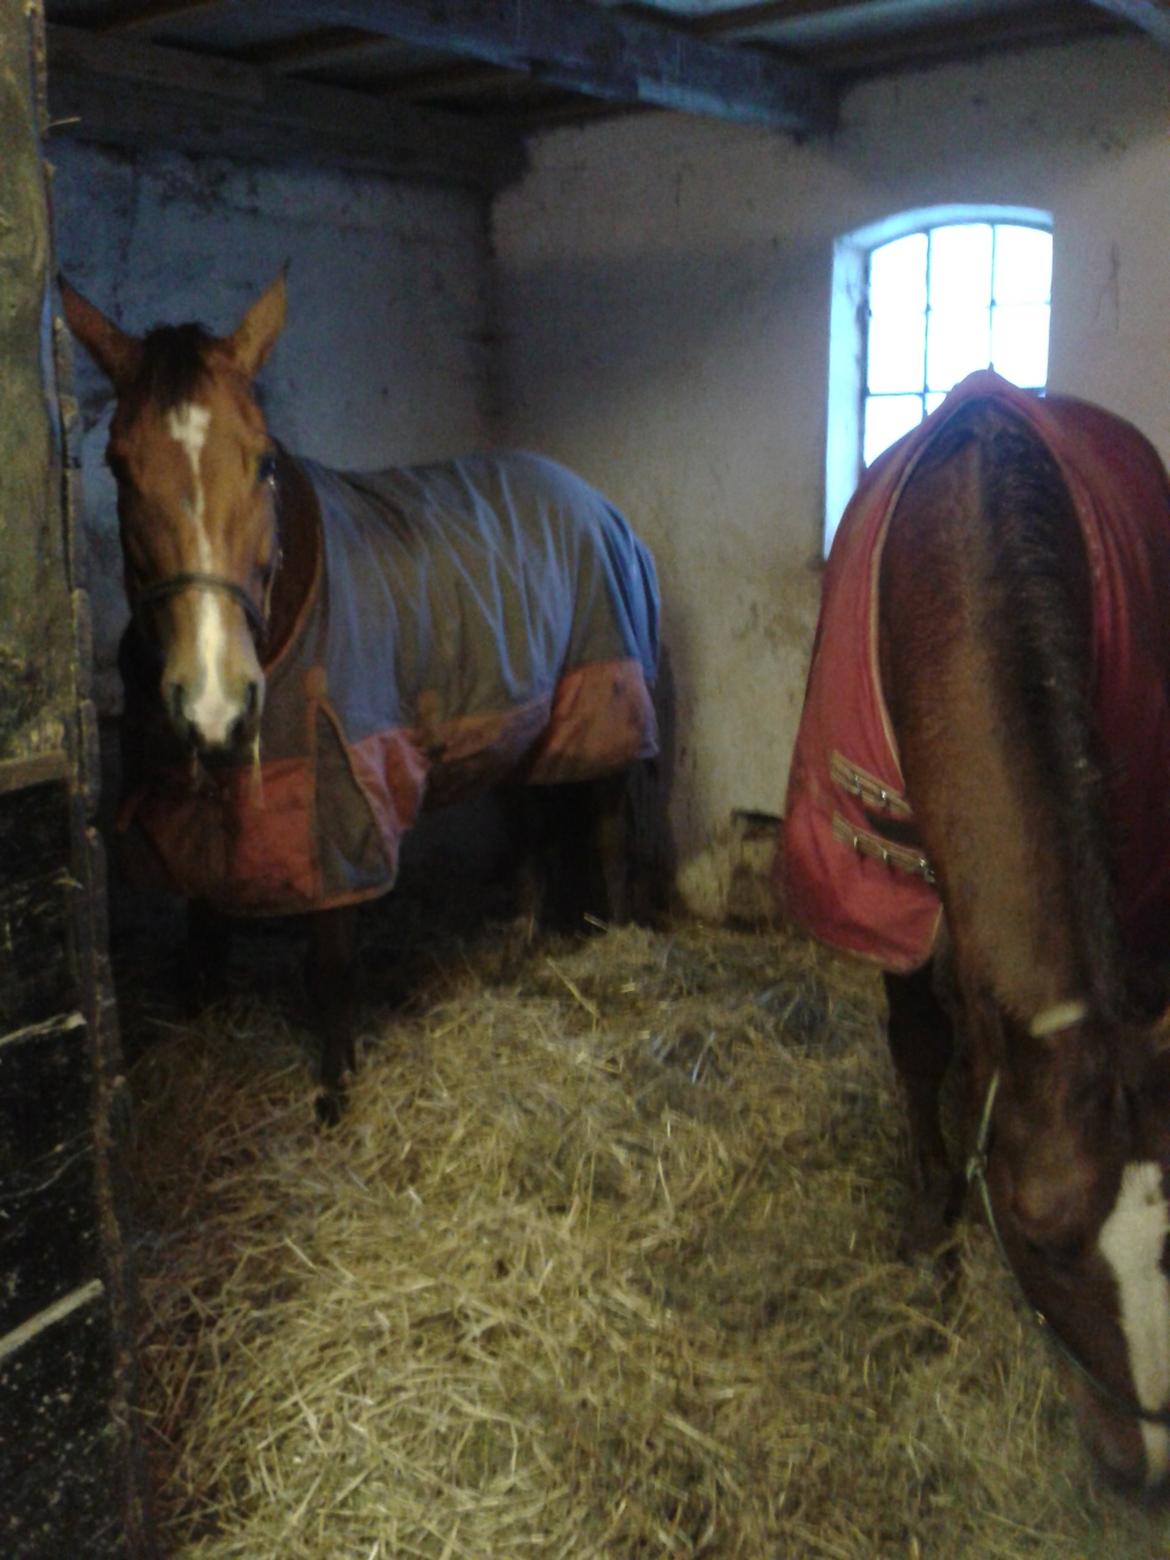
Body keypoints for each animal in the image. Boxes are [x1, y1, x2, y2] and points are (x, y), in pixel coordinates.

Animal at [63, 277, 664, 1123]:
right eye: (118, 466)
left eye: (262, 464)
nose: (215, 708)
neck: (289, 613)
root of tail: (595, 500)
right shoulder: (197, 815)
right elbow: (205, 942)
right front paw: (206, 1043)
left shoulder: (337, 799)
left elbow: (331, 964)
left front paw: (335, 1094)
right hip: (516, 725)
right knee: (528, 829)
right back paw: (517, 944)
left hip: (606, 711)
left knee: (606, 829)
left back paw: (611, 944)